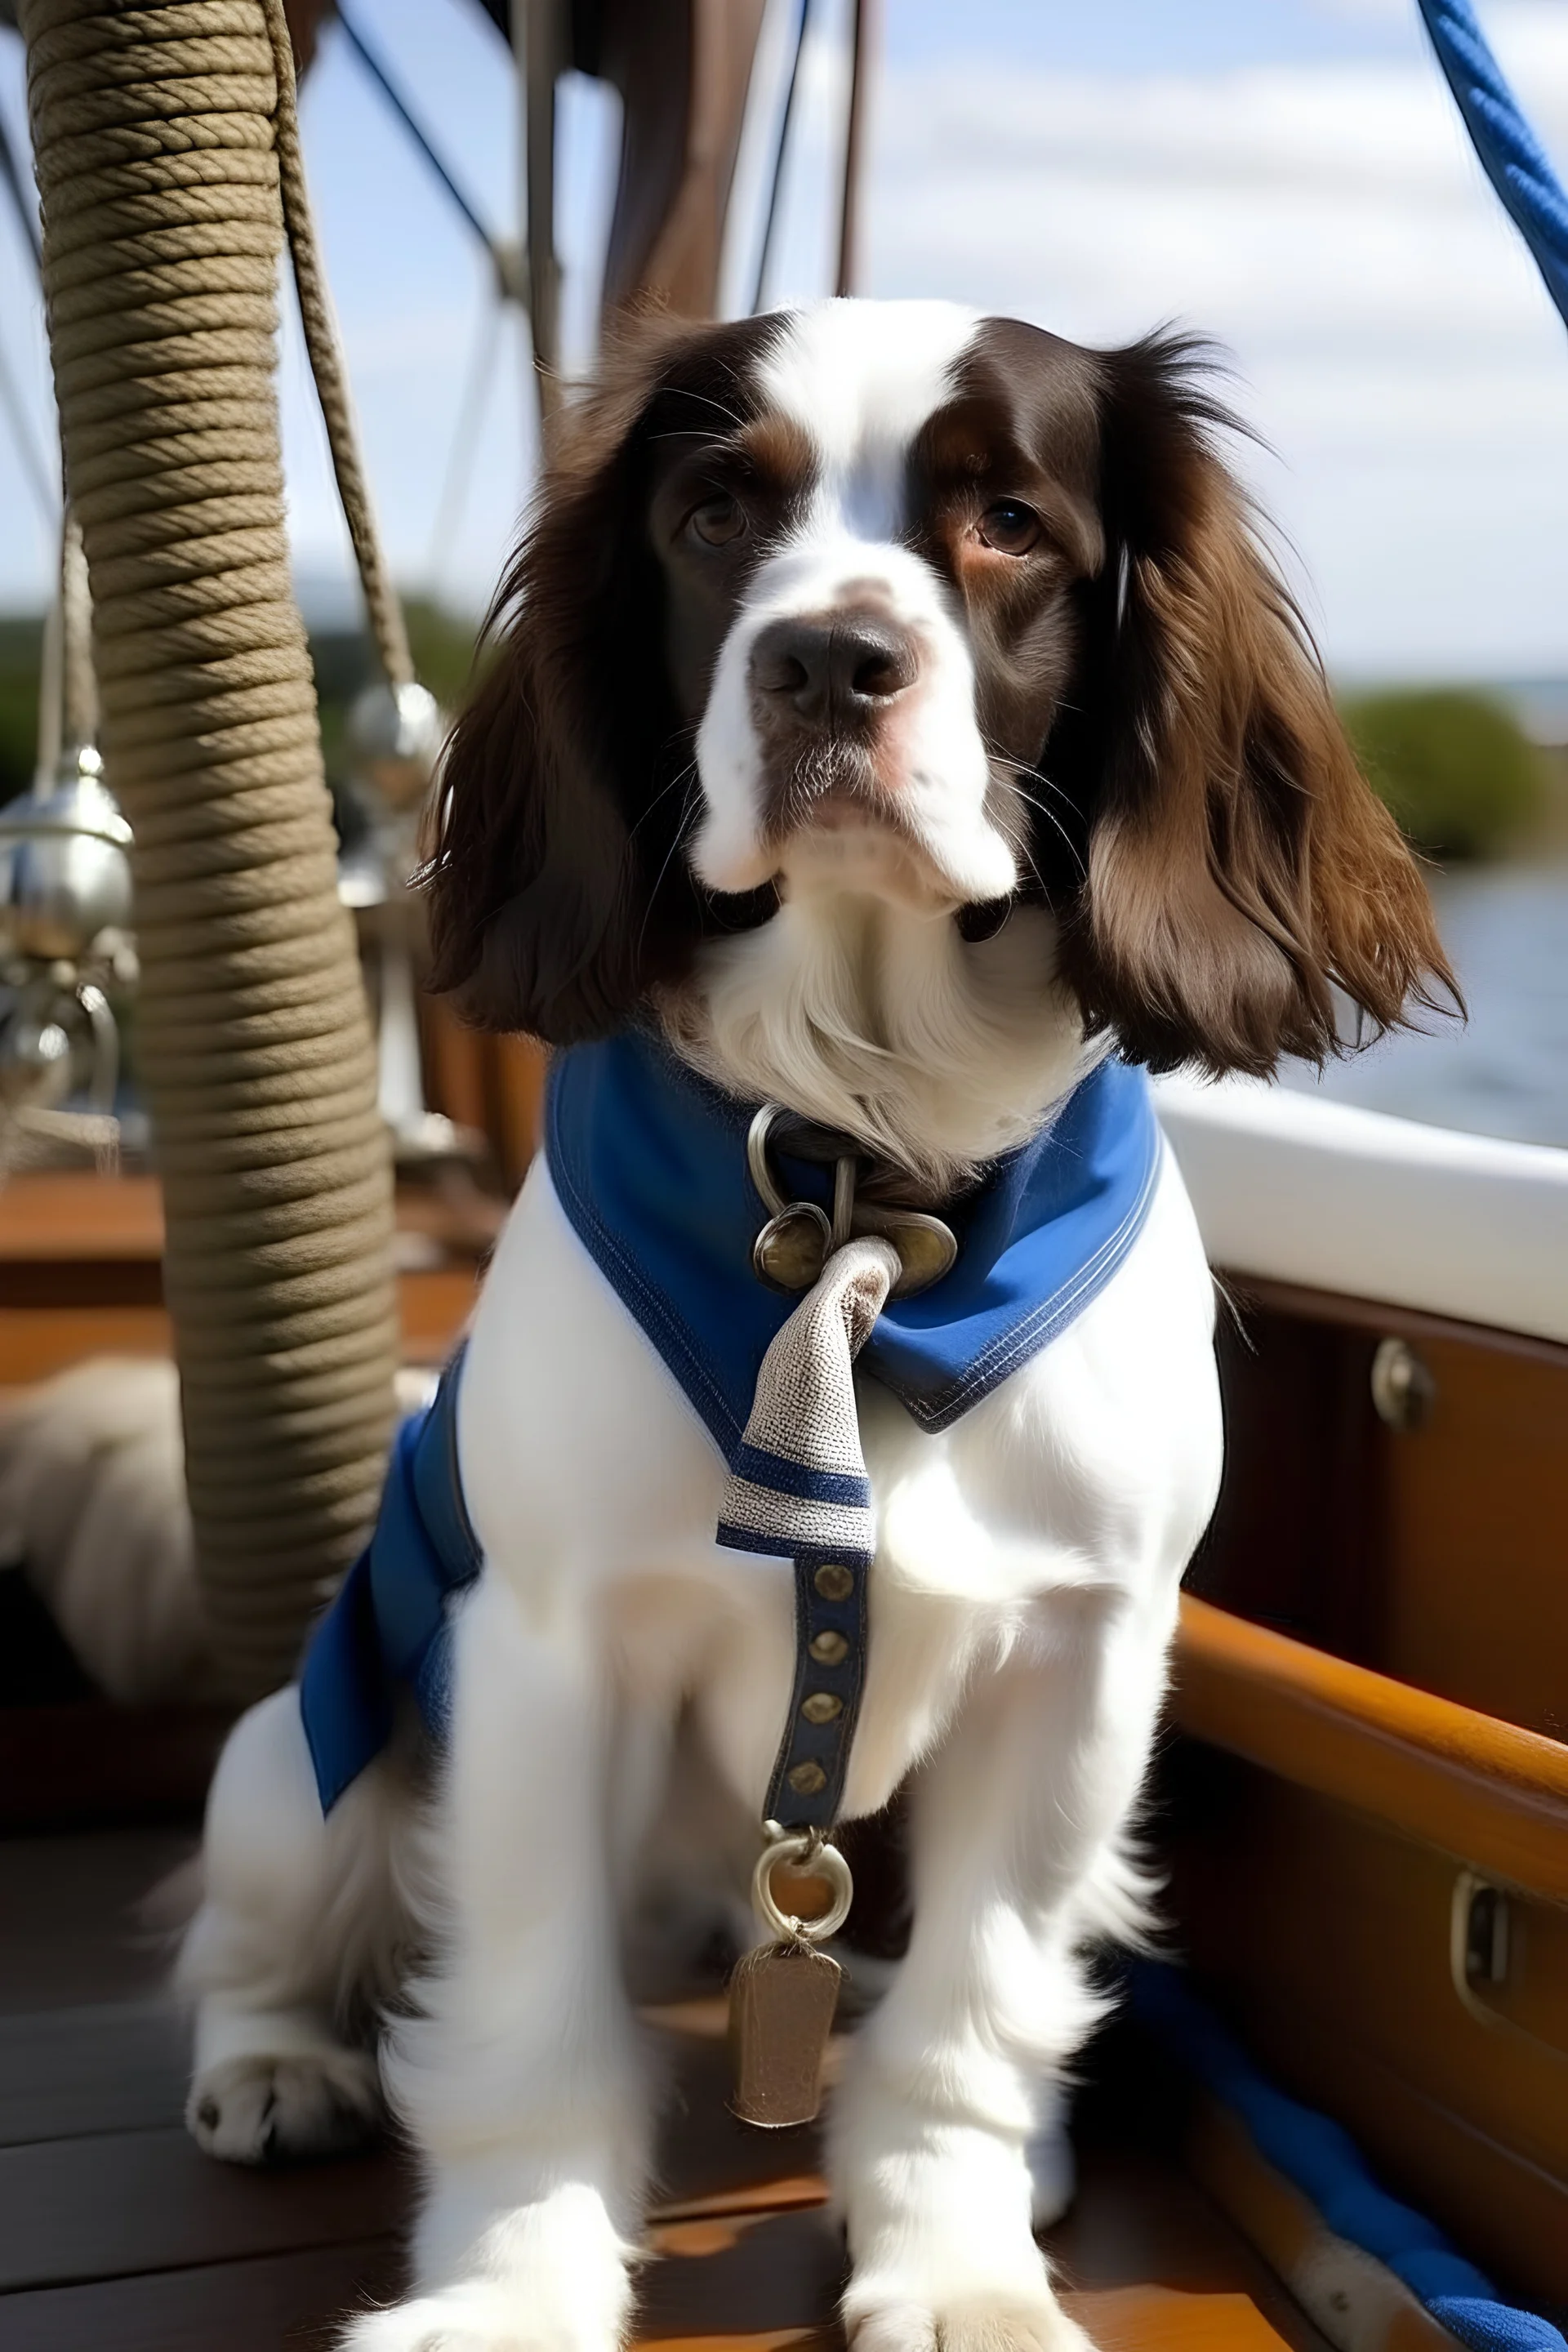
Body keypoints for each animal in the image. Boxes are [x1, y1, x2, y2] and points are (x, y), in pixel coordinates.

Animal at [175, 308, 1448, 2352]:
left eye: (1009, 520)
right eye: (715, 514)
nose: (826, 661)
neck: (866, 1192)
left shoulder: (1081, 1660)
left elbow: (977, 2010)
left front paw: (960, 2259)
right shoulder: (545, 1648)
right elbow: (527, 2016)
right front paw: (509, 2290)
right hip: (310, 1753)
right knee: (265, 1911)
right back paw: (278, 2059)